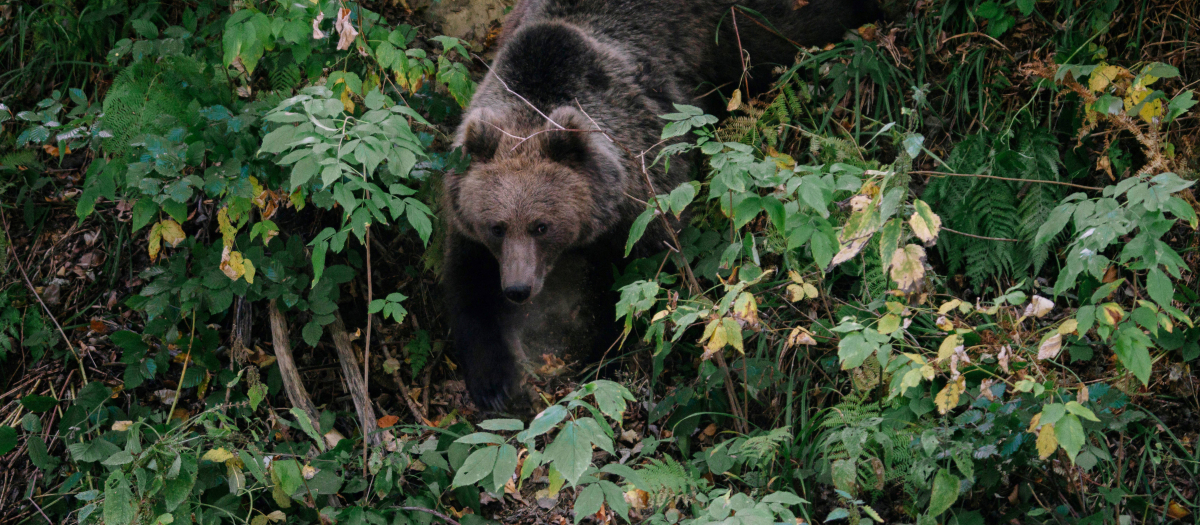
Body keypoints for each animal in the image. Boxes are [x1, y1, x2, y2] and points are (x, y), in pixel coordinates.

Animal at [441, 0, 883, 409]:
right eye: (497, 226)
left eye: (541, 225)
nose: (518, 288)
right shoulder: (468, 220)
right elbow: (468, 290)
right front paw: (493, 385)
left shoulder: (644, 192)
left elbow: (639, 283)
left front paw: (604, 355)